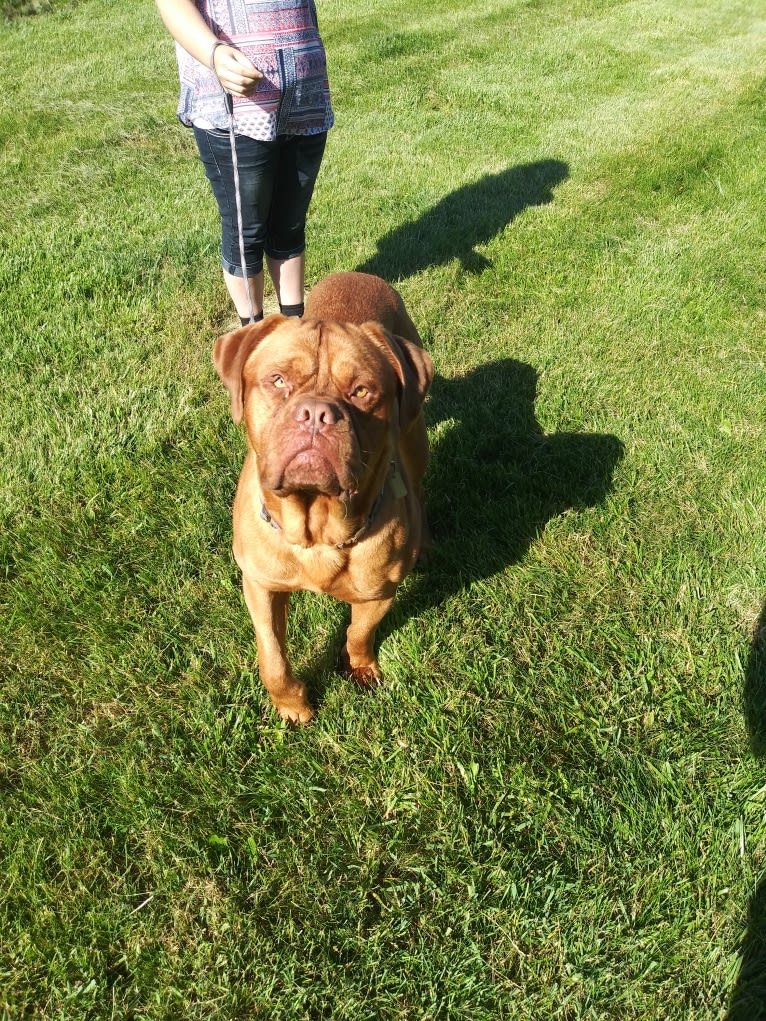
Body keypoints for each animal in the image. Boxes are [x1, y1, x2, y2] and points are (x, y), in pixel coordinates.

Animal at [213, 267, 435, 722]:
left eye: (362, 391)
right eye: (278, 380)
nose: (316, 413)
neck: (315, 527)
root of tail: (359, 273)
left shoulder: (378, 593)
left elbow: (358, 632)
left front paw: (361, 668)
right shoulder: (259, 584)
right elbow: (272, 657)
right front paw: (292, 705)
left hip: (415, 437)